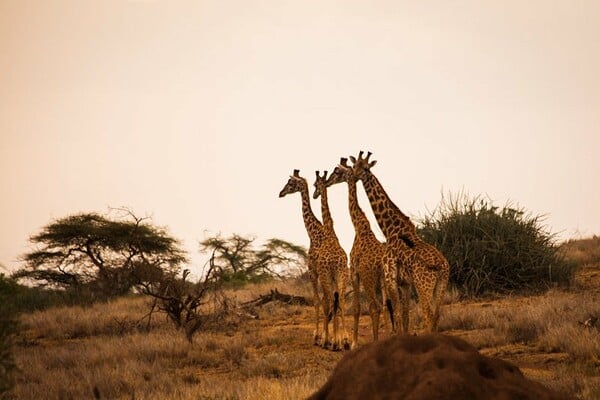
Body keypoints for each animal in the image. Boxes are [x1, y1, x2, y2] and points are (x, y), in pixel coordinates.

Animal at [280, 170, 346, 350]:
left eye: (290, 183)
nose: (280, 193)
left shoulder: (312, 271)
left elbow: (317, 301)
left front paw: (319, 337)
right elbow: (328, 303)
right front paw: (331, 337)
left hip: (326, 275)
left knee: (330, 301)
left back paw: (332, 342)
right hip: (341, 276)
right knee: (340, 300)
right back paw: (343, 341)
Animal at [326, 158, 386, 348]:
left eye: (337, 171)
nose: (328, 182)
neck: (359, 227)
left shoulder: (355, 272)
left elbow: (357, 308)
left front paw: (353, 343)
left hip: (369, 278)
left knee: (375, 305)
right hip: (385, 279)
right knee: (389, 305)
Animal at [346, 152, 450, 332]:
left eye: (366, 168)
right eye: (355, 165)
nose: (354, 175)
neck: (391, 230)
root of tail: (442, 265)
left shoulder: (390, 278)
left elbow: (398, 313)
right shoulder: (405, 283)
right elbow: (405, 314)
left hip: (423, 285)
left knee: (428, 314)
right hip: (441, 285)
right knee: (436, 315)